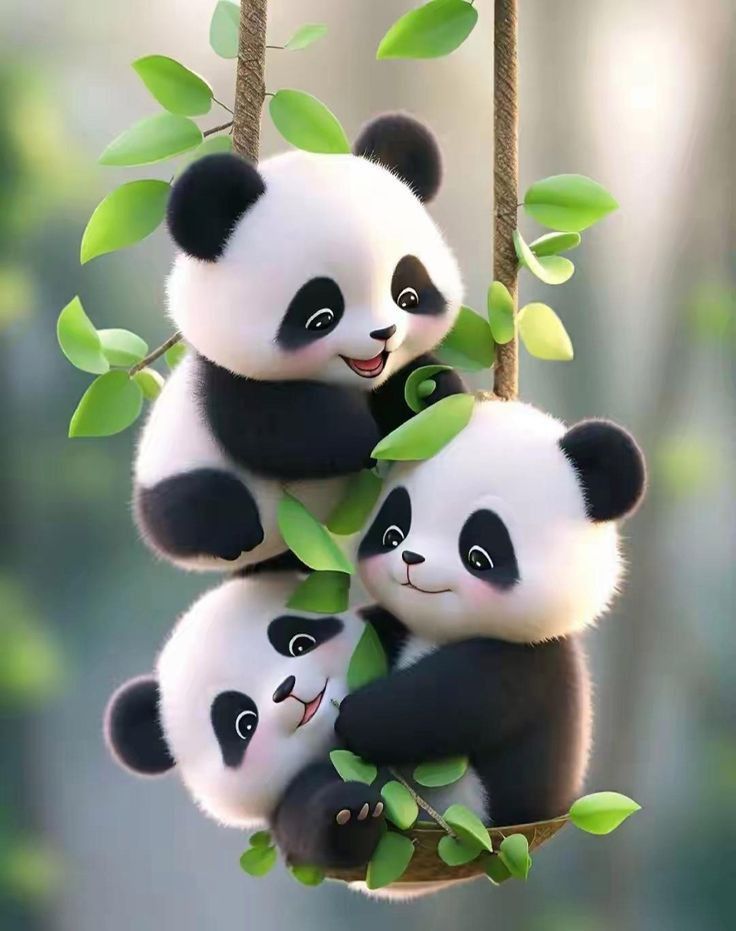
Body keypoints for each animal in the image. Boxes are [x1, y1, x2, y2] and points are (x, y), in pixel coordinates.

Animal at [104, 573, 386, 869]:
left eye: (299, 643)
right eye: (244, 724)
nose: (286, 687)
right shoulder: (286, 807)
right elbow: (321, 836)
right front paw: (352, 813)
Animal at [134, 113, 465, 572]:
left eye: (408, 295)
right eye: (320, 317)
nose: (383, 335)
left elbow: (409, 391)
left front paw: (432, 394)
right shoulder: (227, 380)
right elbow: (278, 429)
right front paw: (366, 435)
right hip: (171, 474)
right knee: (194, 503)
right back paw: (235, 533)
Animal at [335, 400, 647, 829]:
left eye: (479, 555)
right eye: (393, 532)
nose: (411, 558)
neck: (437, 632)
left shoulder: (528, 661)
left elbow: (445, 700)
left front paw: (351, 716)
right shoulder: (395, 629)